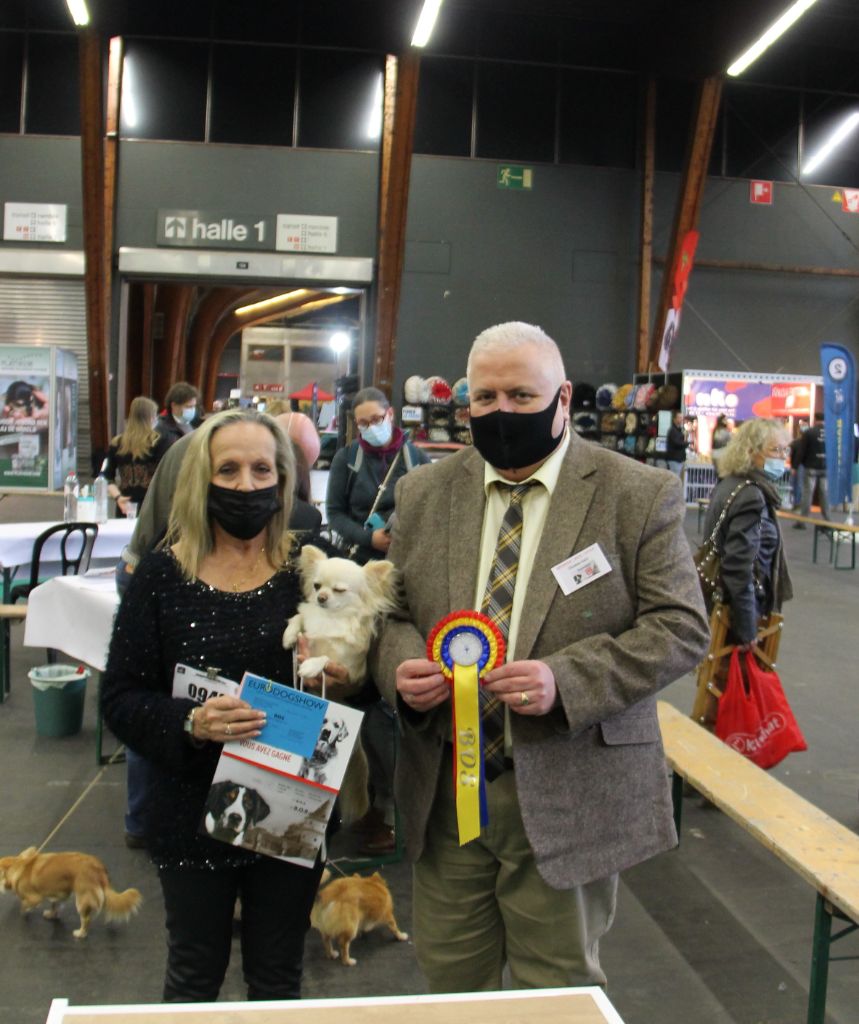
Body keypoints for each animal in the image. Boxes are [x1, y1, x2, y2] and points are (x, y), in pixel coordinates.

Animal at [0, 843, 141, 937]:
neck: (17, 865)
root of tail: (98, 868)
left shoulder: (35, 898)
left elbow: (24, 903)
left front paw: (24, 911)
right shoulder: (58, 893)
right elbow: (55, 905)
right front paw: (52, 914)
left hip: (82, 899)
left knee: (86, 919)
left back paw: (80, 933)